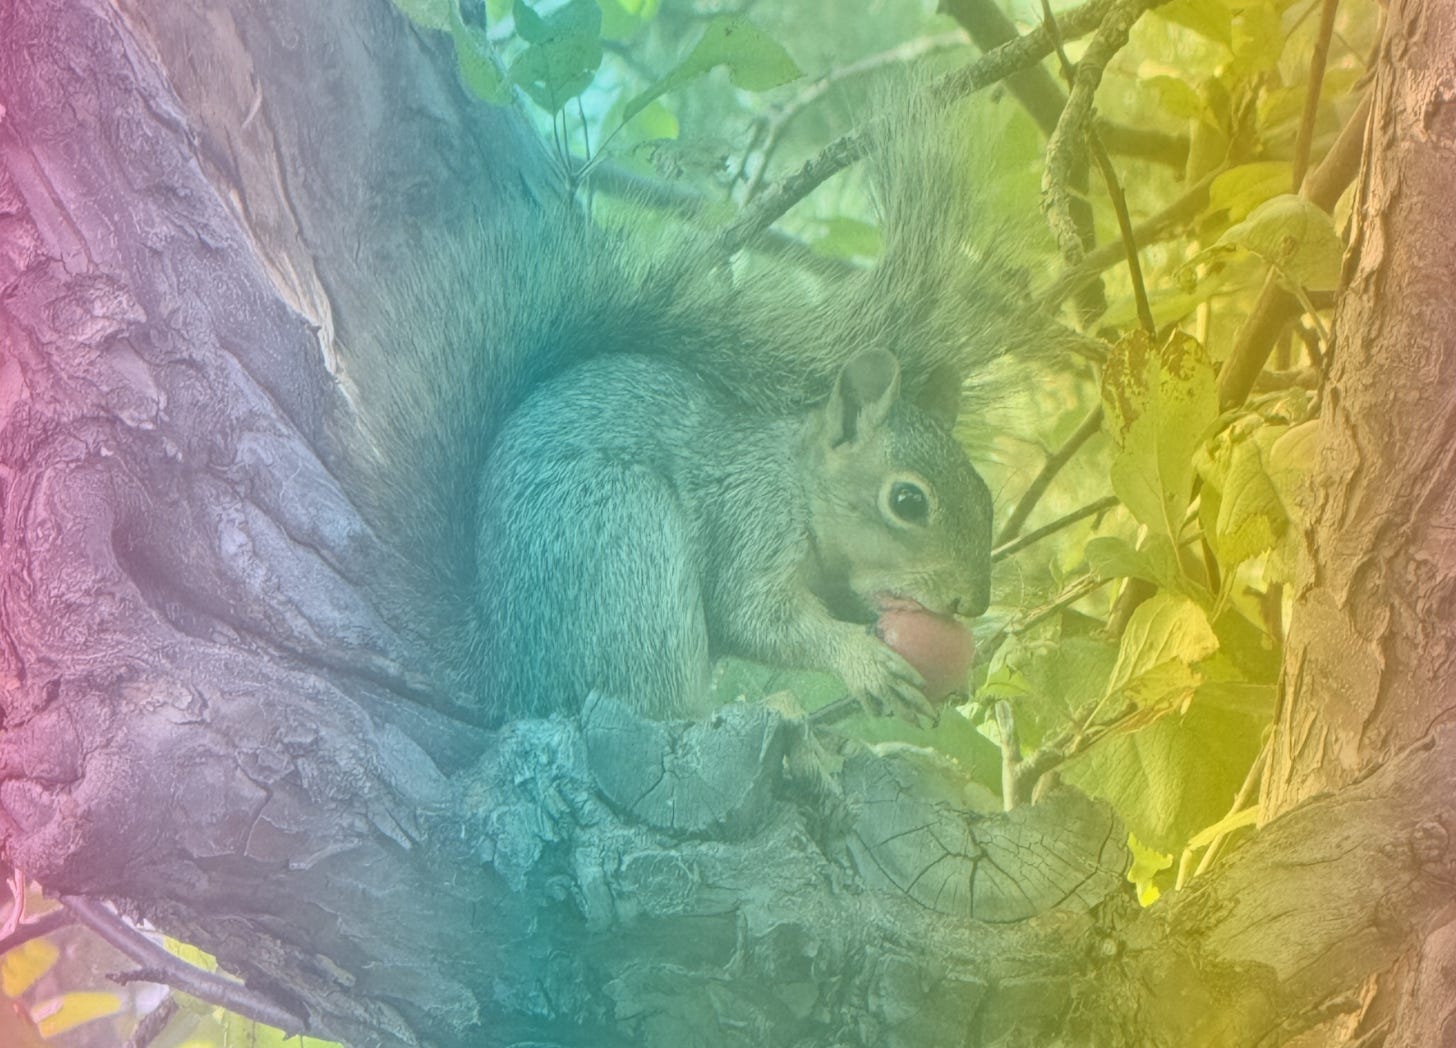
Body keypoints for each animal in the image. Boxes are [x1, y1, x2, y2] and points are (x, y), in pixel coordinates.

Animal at [340, 98, 1030, 727]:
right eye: (907, 501)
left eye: (984, 493)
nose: (973, 601)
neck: (796, 482)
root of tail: (514, 675)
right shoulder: (750, 523)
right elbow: (755, 618)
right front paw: (862, 661)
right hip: (624, 541)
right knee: (654, 701)